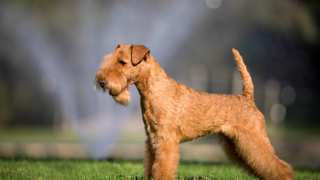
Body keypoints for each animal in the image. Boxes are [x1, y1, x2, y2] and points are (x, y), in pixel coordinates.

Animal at [94, 44, 292, 180]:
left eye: (122, 62)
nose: (101, 81)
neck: (154, 90)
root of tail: (247, 97)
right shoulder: (152, 140)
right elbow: (151, 166)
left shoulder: (166, 141)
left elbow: (162, 169)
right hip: (237, 144)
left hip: (254, 140)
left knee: (279, 166)